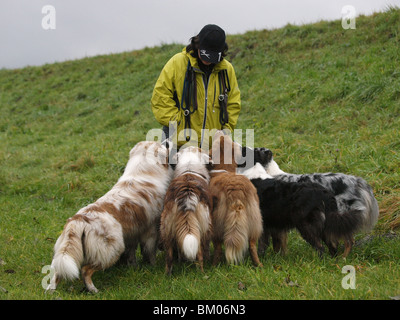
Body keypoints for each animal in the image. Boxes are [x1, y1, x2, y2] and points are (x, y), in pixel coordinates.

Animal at [47, 141, 173, 292]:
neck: (142, 171)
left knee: (57, 273)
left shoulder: (132, 234)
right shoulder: (150, 230)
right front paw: (153, 267)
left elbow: (132, 254)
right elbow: (150, 251)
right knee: (85, 270)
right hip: (112, 250)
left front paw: (134, 267)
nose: (167, 141)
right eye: (161, 144)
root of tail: (78, 221)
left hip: (68, 253)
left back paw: (51, 290)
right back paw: (93, 290)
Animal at [161, 146, 214, 274]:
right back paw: (202, 273)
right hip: (204, 225)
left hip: (166, 227)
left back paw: (168, 274)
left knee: (169, 256)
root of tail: (187, 197)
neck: (189, 167)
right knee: (200, 252)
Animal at [208, 131, 264, 266]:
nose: (221, 131)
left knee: (218, 247)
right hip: (255, 221)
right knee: (252, 246)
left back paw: (214, 265)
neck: (225, 169)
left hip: (216, 224)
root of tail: (236, 191)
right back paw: (258, 265)